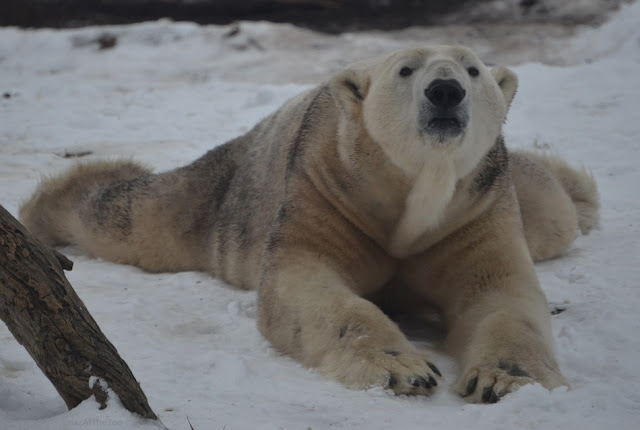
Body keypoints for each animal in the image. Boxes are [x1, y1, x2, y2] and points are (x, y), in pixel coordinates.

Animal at [21, 46, 600, 404]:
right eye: (406, 70)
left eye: (472, 70)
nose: (445, 91)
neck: (414, 194)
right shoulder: (326, 189)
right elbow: (307, 283)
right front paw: (405, 369)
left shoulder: (474, 211)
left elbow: (500, 292)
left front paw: (504, 381)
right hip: (217, 200)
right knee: (134, 216)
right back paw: (45, 212)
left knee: (553, 210)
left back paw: (579, 190)